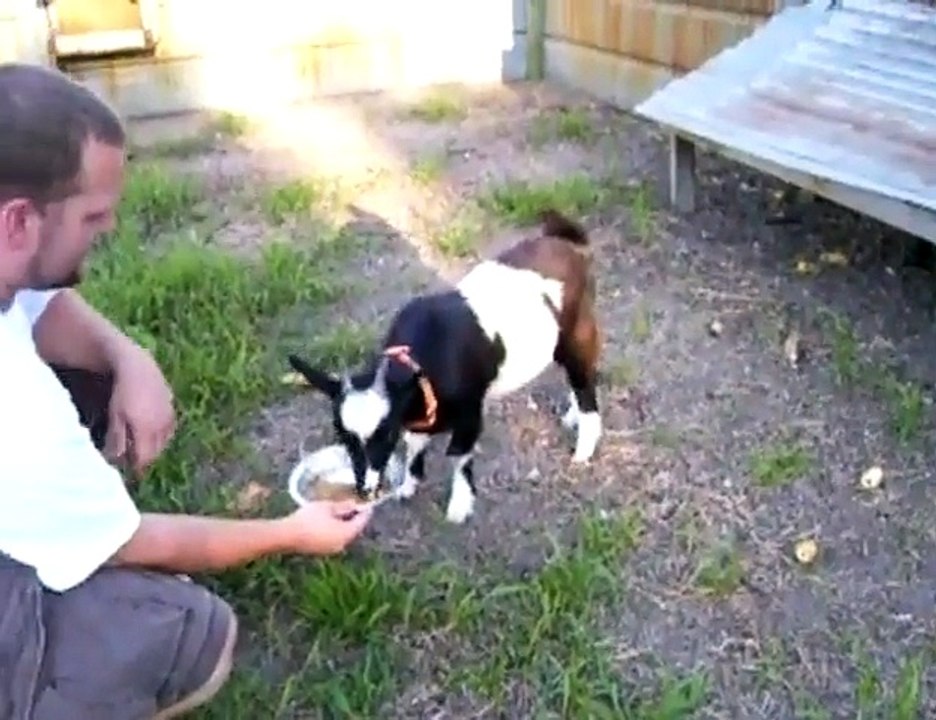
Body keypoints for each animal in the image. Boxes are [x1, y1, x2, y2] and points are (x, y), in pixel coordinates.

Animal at [287, 208, 602, 524]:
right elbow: (415, 444)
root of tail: (566, 244)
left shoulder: (470, 414)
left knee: (585, 382)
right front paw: (409, 484)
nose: (365, 490)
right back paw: (572, 417)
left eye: (385, 434)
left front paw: (460, 505)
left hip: (578, 335)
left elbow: (458, 455)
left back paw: (584, 446)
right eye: (343, 437)